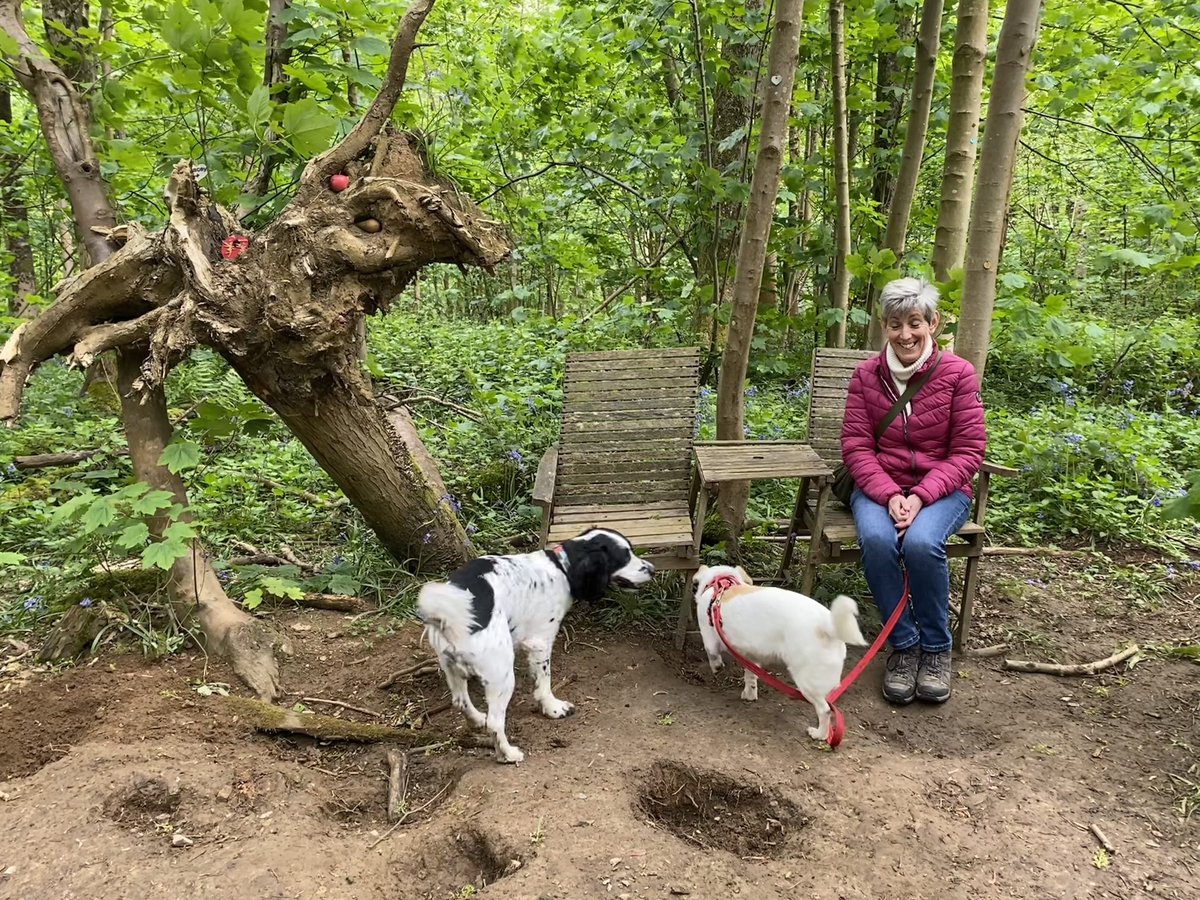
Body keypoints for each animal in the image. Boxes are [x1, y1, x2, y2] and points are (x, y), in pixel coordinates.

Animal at [415, 532, 657, 763]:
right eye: (625, 557)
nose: (653, 570)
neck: (561, 567)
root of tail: (451, 618)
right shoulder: (540, 643)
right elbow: (544, 684)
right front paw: (553, 708)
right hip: (502, 677)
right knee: (495, 722)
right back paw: (508, 754)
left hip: (452, 669)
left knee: (460, 702)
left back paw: (477, 720)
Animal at [696, 566, 864, 744]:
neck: (723, 584)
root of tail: (827, 625)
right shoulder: (750, 657)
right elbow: (751, 677)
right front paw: (749, 694)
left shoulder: (709, 638)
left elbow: (712, 655)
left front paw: (716, 667)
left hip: (807, 682)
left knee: (824, 710)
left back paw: (819, 734)